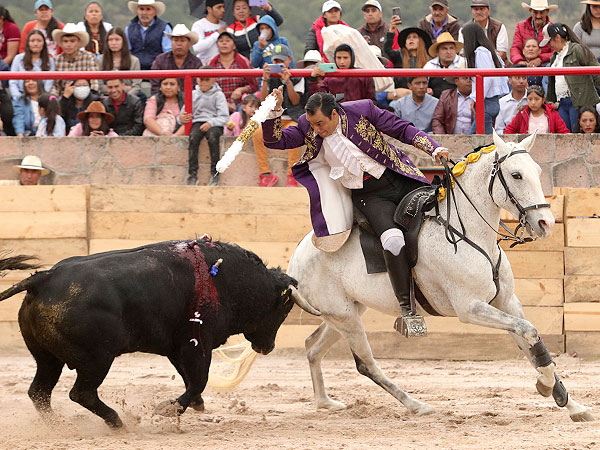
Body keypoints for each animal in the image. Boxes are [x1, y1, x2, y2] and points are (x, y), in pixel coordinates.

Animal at [0, 239, 318, 426]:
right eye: (284, 310)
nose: (267, 347)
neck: (227, 280)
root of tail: (44, 278)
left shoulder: (177, 347)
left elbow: (191, 379)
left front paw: (195, 406)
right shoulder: (196, 345)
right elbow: (199, 380)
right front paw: (168, 409)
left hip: (47, 358)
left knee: (39, 392)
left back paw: (58, 424)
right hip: (97, 359)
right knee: (82, 393)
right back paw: (117, 422)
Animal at [288, 130, 596, 422]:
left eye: (538, 171)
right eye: (516, 175)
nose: (546, 223)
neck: (469, 232)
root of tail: (298, 255)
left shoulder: (507, 301)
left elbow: (530, 342)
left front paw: (572, 404)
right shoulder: (469, 308)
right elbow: (528, 331)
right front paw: (546, 386)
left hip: (346, 312)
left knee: (313, 347)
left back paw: (325, 402)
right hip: (346, 318)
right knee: (366, 363)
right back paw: (416, 405)